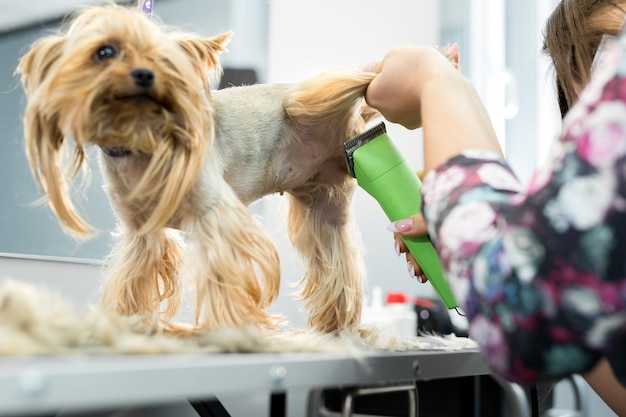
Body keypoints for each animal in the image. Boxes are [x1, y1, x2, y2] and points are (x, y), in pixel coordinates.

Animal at [19, 4, 380, 334]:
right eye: (104, 52)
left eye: (165, 60)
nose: (145, 75)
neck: (140, 137)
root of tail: (347, 121)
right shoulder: (141, 232)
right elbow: (131, 277)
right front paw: (122, 320)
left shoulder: (216, 216)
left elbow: (224, 276)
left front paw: (232, 328)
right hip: (322, 204)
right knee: (336, 253)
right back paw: (336, 324)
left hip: (306, 103)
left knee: (332, 88)